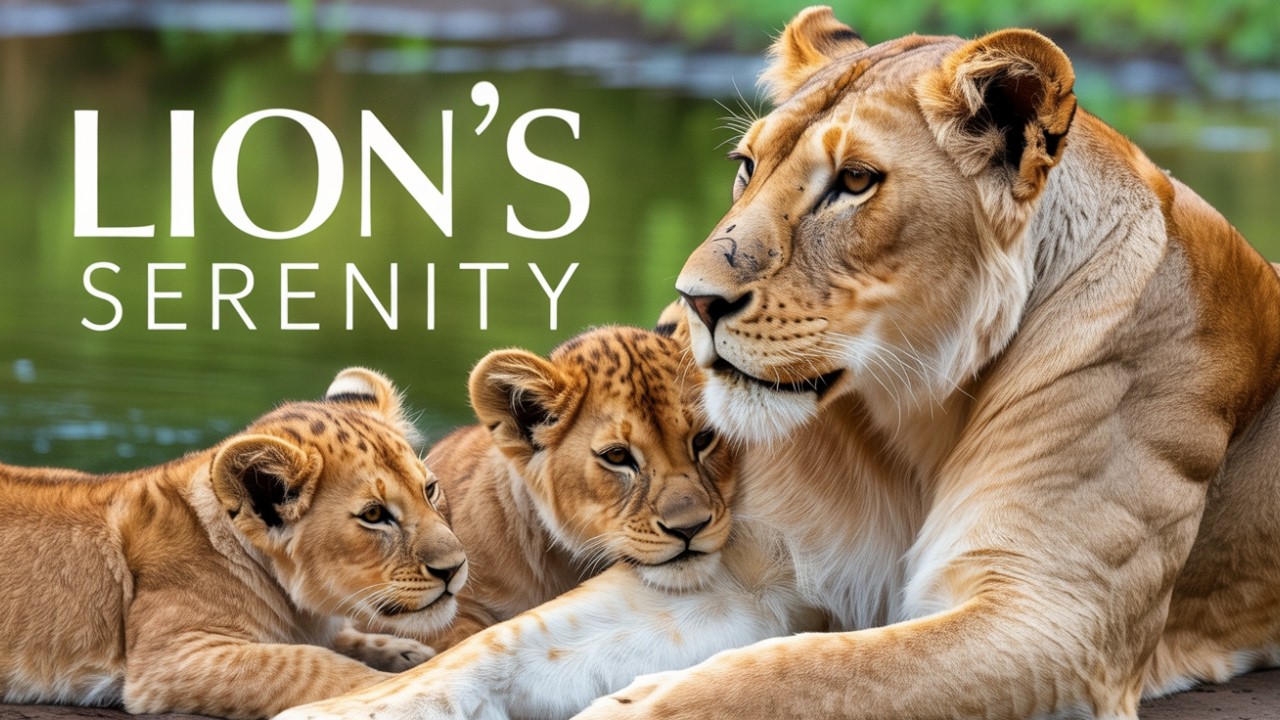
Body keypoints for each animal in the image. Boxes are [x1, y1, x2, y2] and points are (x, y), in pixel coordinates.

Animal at [0, 368, 468, 719]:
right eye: (373, 515)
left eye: (429, 490)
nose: (455, 567)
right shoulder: (170, 658)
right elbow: (310, 664)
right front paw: (400, 685)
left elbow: (339, 642)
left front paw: (409, 653)